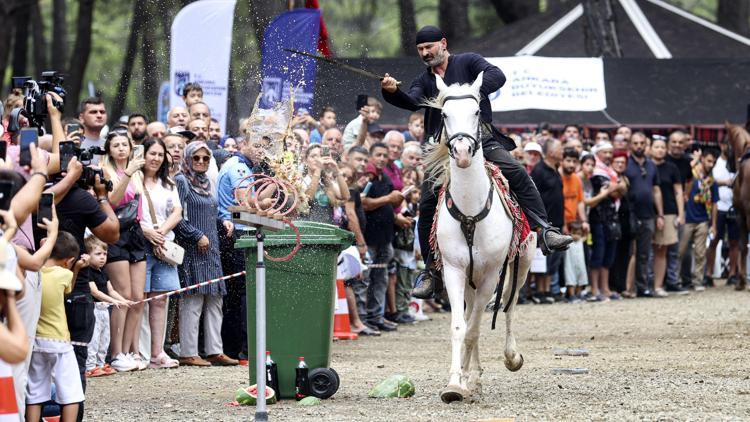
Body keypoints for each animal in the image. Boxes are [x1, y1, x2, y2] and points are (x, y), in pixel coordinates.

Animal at [426, 71, 536, 402]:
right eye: (444, 114)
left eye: (476, 111)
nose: (462, 154)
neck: (471, 211)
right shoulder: (454, 270)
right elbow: (460, 327)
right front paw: (456, 383)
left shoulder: (490, 274)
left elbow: (475, 328)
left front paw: (464, 379)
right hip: (470, 279)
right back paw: (471, 378)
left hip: (522, 262)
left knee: (510, 305)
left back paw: (510, 358)